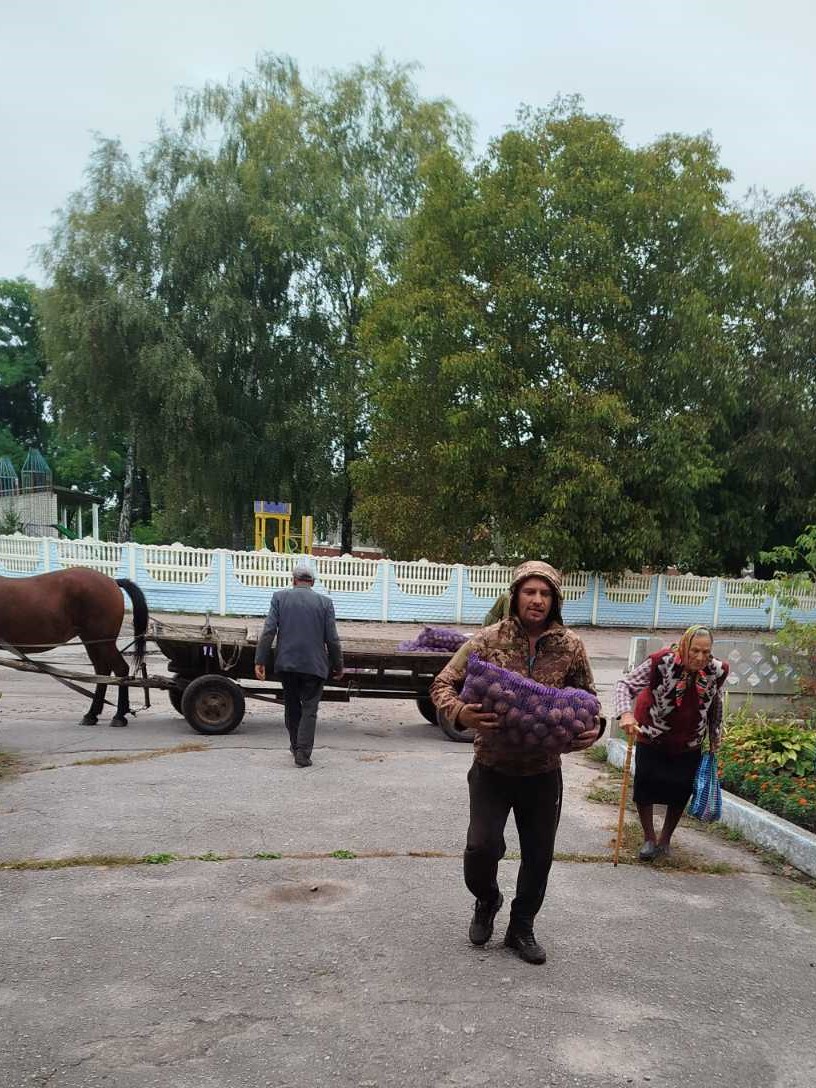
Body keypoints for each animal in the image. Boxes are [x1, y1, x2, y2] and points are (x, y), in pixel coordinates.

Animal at [0, 568, 149, 726]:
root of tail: (112, 581)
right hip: (92, 641)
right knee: (102, 671)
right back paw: (92, 714)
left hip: (103, 642)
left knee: (120, 669)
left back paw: (119, 716)